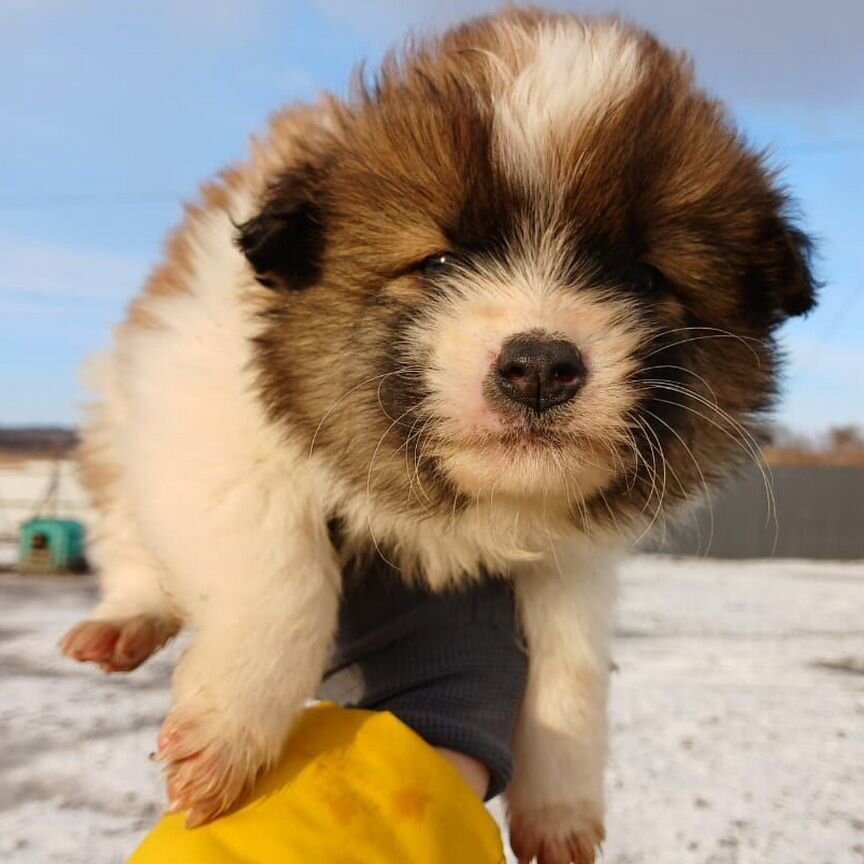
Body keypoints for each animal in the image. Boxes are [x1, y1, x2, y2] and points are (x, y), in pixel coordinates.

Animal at [60, 10, 816, 864]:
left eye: (645, 276)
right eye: (440, 259)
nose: (540, 368)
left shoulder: (574, 558)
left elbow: (573, 665)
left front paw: (562, 803)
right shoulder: (206, 419)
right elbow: (284, 581)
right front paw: (231, 728)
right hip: (116, 417)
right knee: (128, 540)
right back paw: (122, 620)